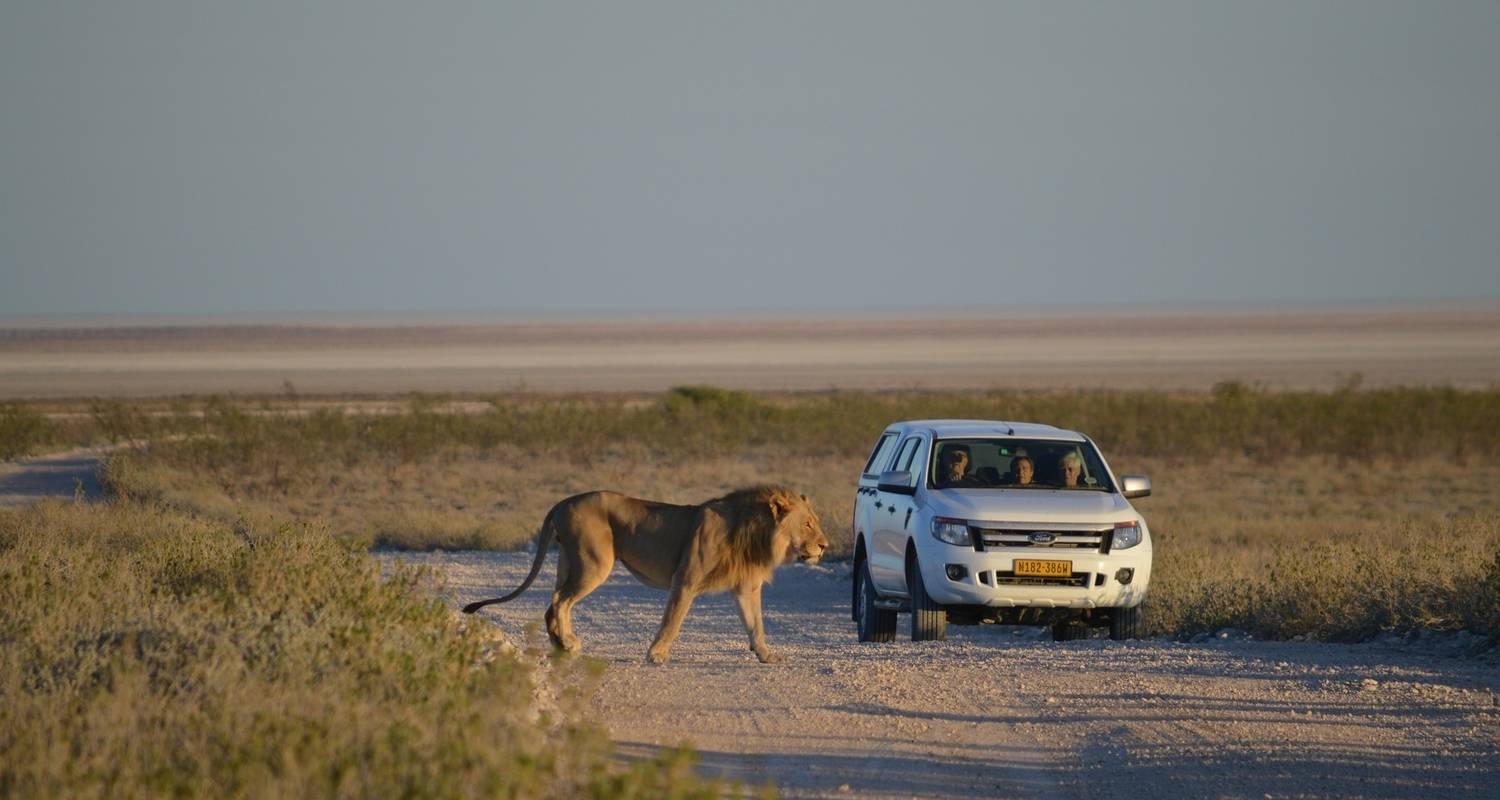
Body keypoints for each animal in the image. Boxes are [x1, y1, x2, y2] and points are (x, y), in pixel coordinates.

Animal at [462, 486, 828, 660]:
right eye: (808, 524)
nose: (825, 546)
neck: (755, 532)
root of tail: (562, 502)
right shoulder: (686, 578)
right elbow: (672, 621)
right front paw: (656, 655)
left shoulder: (746, 587)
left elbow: (756, 625)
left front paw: (766, 655)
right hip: (594, 561)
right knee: (560, 602)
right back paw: (566, 643)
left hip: (569, 560)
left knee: (553, 601)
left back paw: (561, 643)